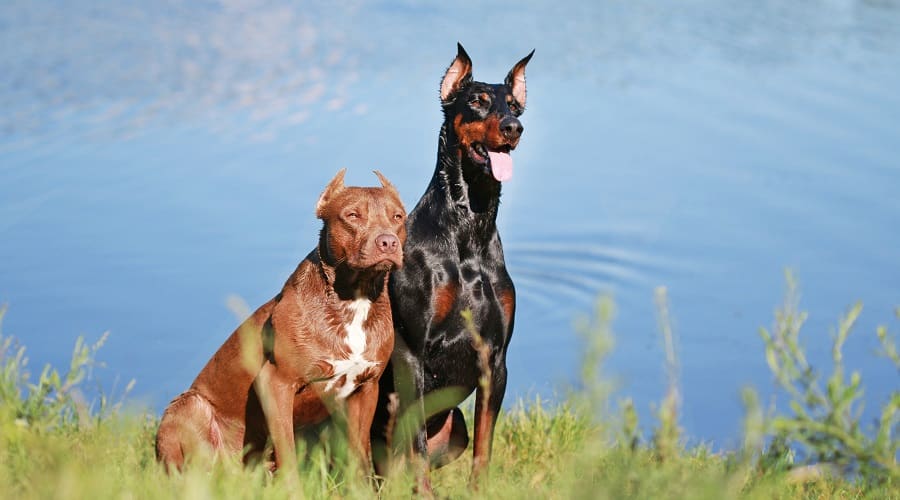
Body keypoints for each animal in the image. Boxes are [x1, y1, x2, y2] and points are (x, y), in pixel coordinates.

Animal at [156, 169, 406, 472]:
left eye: (398, 217)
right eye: (352, 215)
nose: (388, 241)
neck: (354, 298)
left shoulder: (366, 389)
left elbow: (359, 456)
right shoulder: (276, 384)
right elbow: (287, 451)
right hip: (189, 407)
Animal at [374, 44, 536, 488]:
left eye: (514, 104)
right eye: (477, 101)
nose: (514, 128)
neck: (469, 234)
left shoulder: (495, 358)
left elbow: (484, 446)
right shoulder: (411, 353)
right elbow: (415, 446)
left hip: (455, 428)